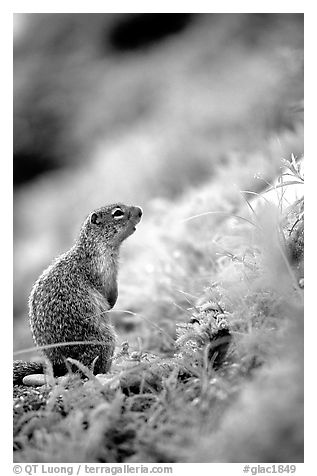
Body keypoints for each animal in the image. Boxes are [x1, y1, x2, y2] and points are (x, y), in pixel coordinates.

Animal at [13, 203, 142, 384]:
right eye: (118, 213)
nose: (140, 211)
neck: (95, 247)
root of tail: (59, 366)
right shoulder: (103, 270)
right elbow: (107, 289)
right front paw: (111, 303)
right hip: (104, 338)